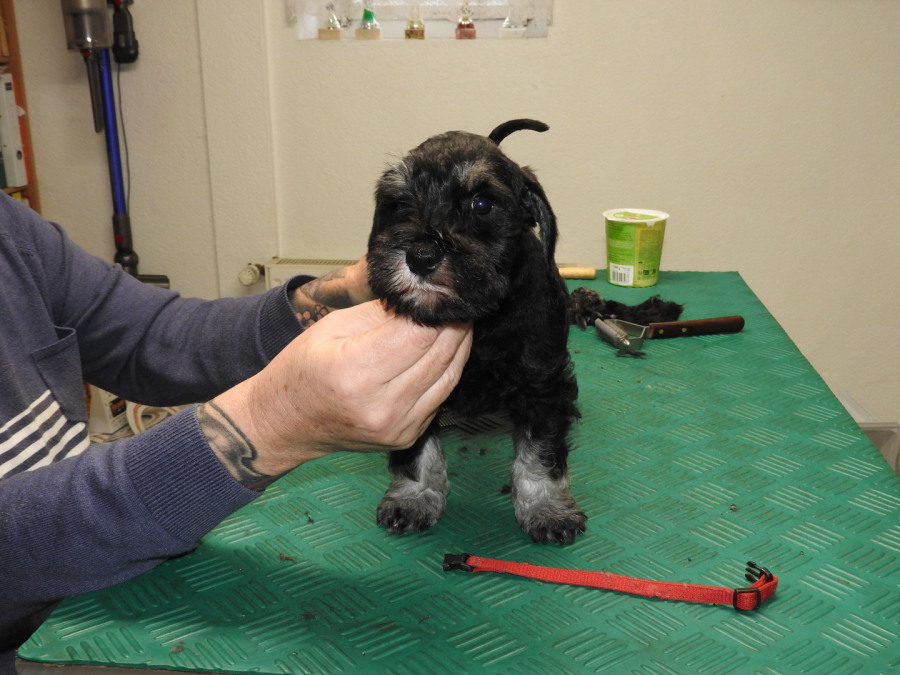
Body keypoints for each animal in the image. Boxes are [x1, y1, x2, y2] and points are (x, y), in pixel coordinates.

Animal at [366, 119, 585, 544]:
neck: (481, 321)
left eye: (482, 205)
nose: (420, 257)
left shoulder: (544, 387)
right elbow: (416, 451)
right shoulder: (416, 395)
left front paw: (546, 509)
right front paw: (414, 497)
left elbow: (542, 452)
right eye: (399, 202)